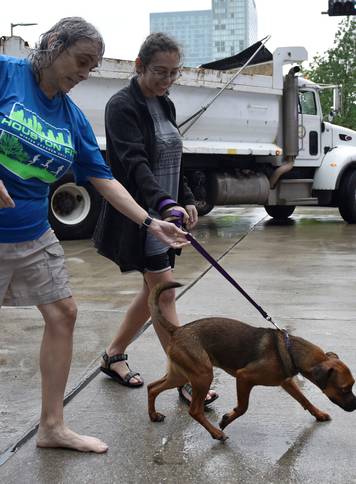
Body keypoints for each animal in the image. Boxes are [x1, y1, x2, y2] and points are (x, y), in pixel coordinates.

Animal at [147, 280, 356, 442]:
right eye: (344, 389)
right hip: (203, 376)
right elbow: (242, 407)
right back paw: (216, 433)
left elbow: (304, 399)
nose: (355, 406)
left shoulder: (287, 382)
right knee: (194, 411)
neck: (292, 351)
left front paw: (318, 414)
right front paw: (226, 419)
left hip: (182, 375)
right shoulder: (244, 378)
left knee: (152, 387)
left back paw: (153, 415)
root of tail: (177, 330)